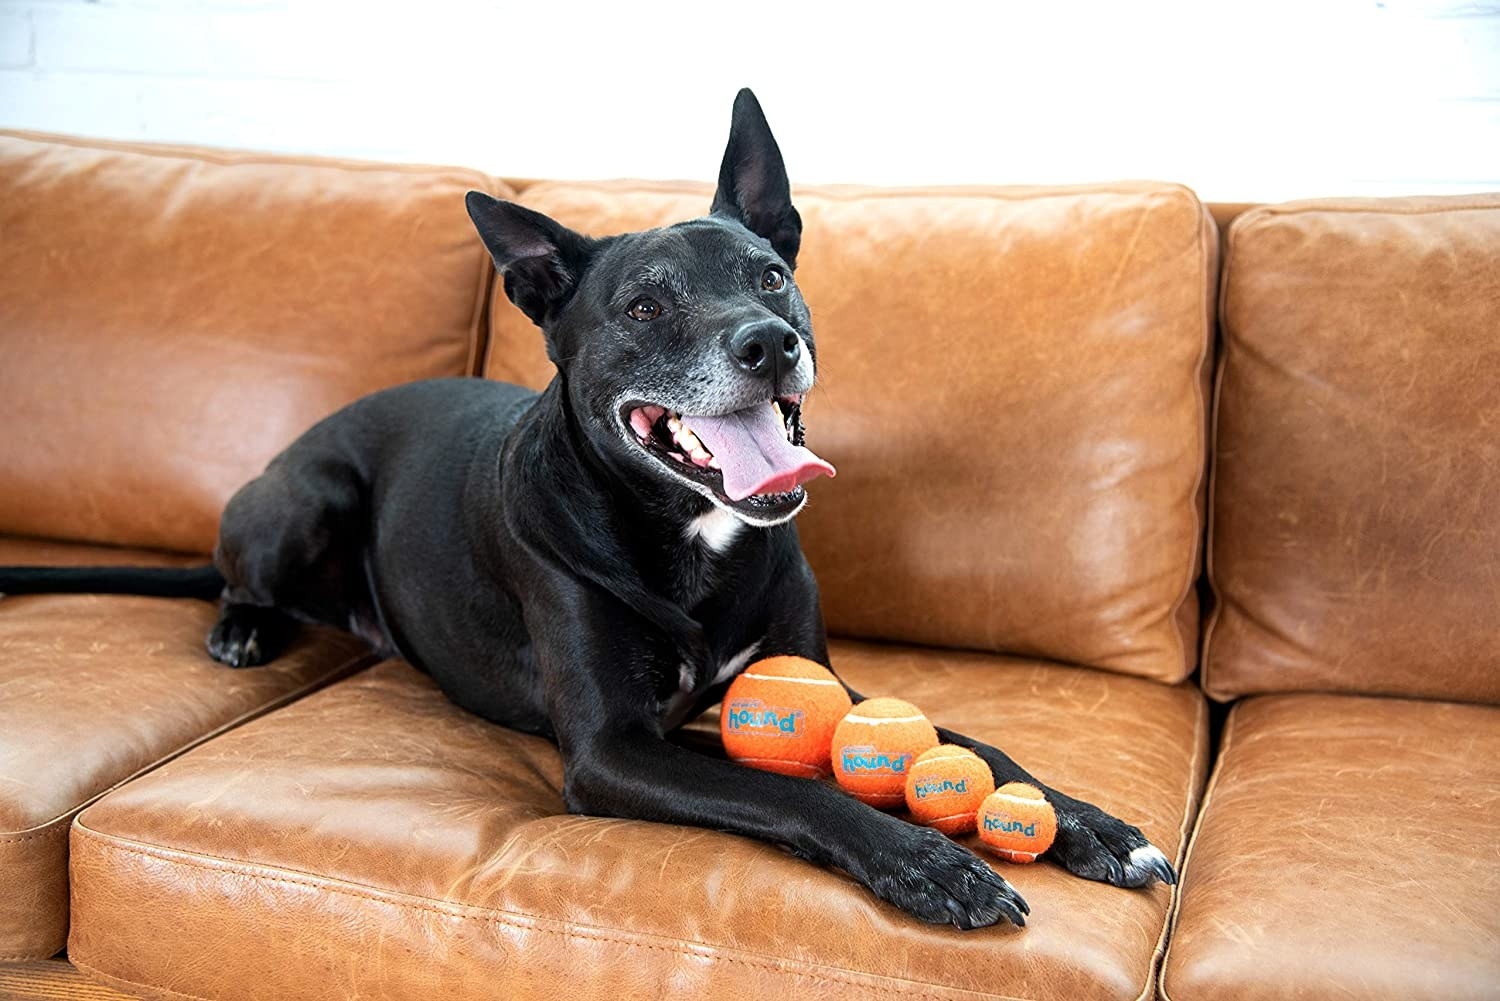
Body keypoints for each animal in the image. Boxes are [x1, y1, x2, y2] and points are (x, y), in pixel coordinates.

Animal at [0, 90, 1170, 930]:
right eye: (644, 305)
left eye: (771, 274)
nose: (768, 342)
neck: (688, 533)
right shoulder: (614, 748)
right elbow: (802, 792)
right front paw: (930, 861)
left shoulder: (824, 681)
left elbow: (980, 744)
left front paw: (1093, 824)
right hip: (307, 496)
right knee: (243, 572)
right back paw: (242, 624)